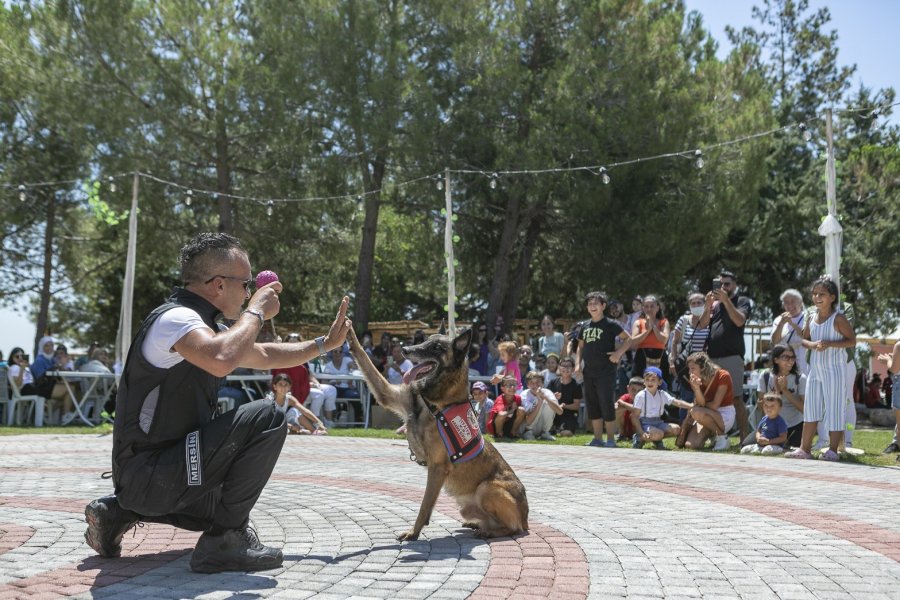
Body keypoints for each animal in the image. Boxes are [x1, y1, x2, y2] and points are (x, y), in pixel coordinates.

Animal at [344, 326, 528, 540]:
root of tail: (526, 516)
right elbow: (365, 359)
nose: (405, 349)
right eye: (424, 340)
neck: (433, 403)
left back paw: (489, 532)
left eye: (437, 347)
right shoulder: (388, 394)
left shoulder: (437, 468)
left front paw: (413, 532)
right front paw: (347, 331)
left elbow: (424, 505)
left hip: (488, 488)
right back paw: (477, 524)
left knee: (514, 528)